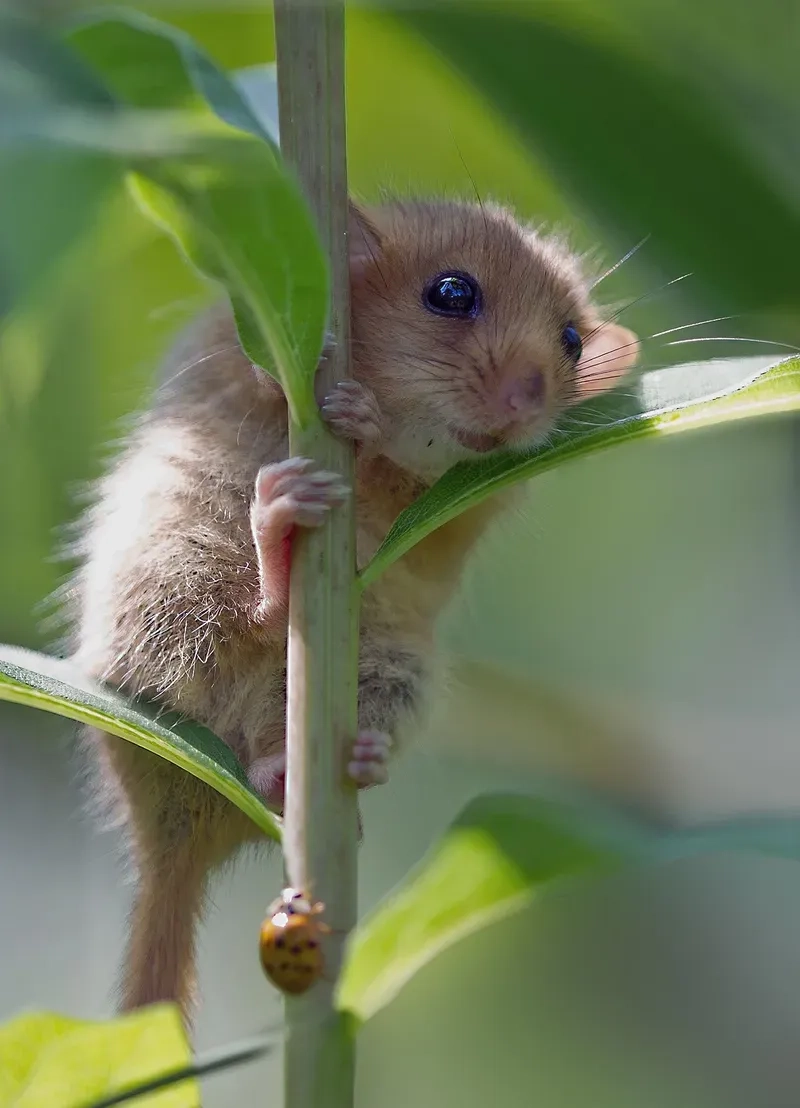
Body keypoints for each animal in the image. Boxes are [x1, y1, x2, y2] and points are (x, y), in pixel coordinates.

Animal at [63, 198, 639, 1020]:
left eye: (570, 341)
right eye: (452, 292)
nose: (526, 402)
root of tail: (176, 844)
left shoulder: (465, 509)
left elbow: (417, 489)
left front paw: (369, 425)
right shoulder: (225, 354)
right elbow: (268, 380)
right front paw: (347, 404)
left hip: (394, 663)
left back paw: (343, 760)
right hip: (171, 575)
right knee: (238, 623)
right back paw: (278, 531)